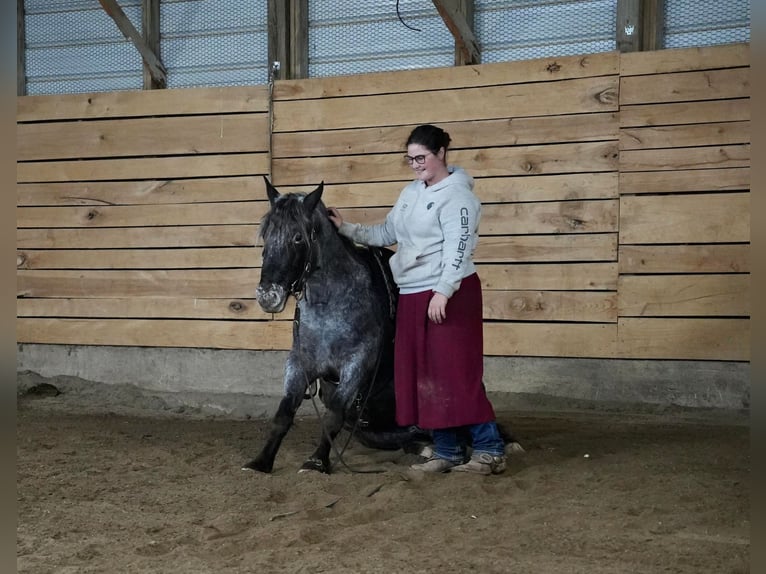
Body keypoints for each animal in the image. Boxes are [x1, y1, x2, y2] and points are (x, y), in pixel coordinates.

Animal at [242, 178, 431, 474]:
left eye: (298, 237)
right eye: (266, 236)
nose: (268, 296)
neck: (329, 307)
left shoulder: (356, 365)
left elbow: (333, 416)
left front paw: (317, 461)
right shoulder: (299, 363)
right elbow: (283, 414)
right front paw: (261, 461)